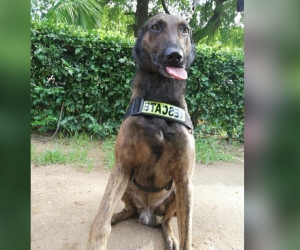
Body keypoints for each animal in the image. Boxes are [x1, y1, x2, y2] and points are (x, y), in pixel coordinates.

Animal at [85, 13, 196, 250]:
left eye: (185, 30)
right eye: (155, 27)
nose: (176, 56)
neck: (160, 97)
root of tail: (147, 212)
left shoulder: (184, 180)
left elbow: (187, 233)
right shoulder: (122, 166)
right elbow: (101, 219)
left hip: (177, 193)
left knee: (167, 221)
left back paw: (169, 236)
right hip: (124, 183)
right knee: (127, 211)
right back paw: (117, 216)